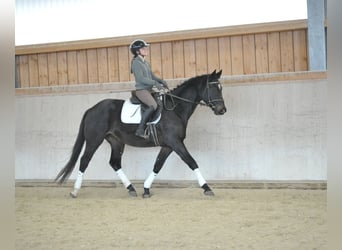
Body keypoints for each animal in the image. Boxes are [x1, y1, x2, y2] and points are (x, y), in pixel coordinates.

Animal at [54, 69, 227, 198]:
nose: (222, 110)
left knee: (114, 163)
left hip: (116, 141)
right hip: (94, 140)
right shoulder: (175, 142)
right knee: (84, 160)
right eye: (213, 88)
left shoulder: (169, 145)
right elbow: (192, 162)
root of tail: (92, 109)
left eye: (221, 88)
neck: (175, 108)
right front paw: (207, 188)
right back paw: (75, 191)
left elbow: (158, 165)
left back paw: (131, 189)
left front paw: (146, 189)